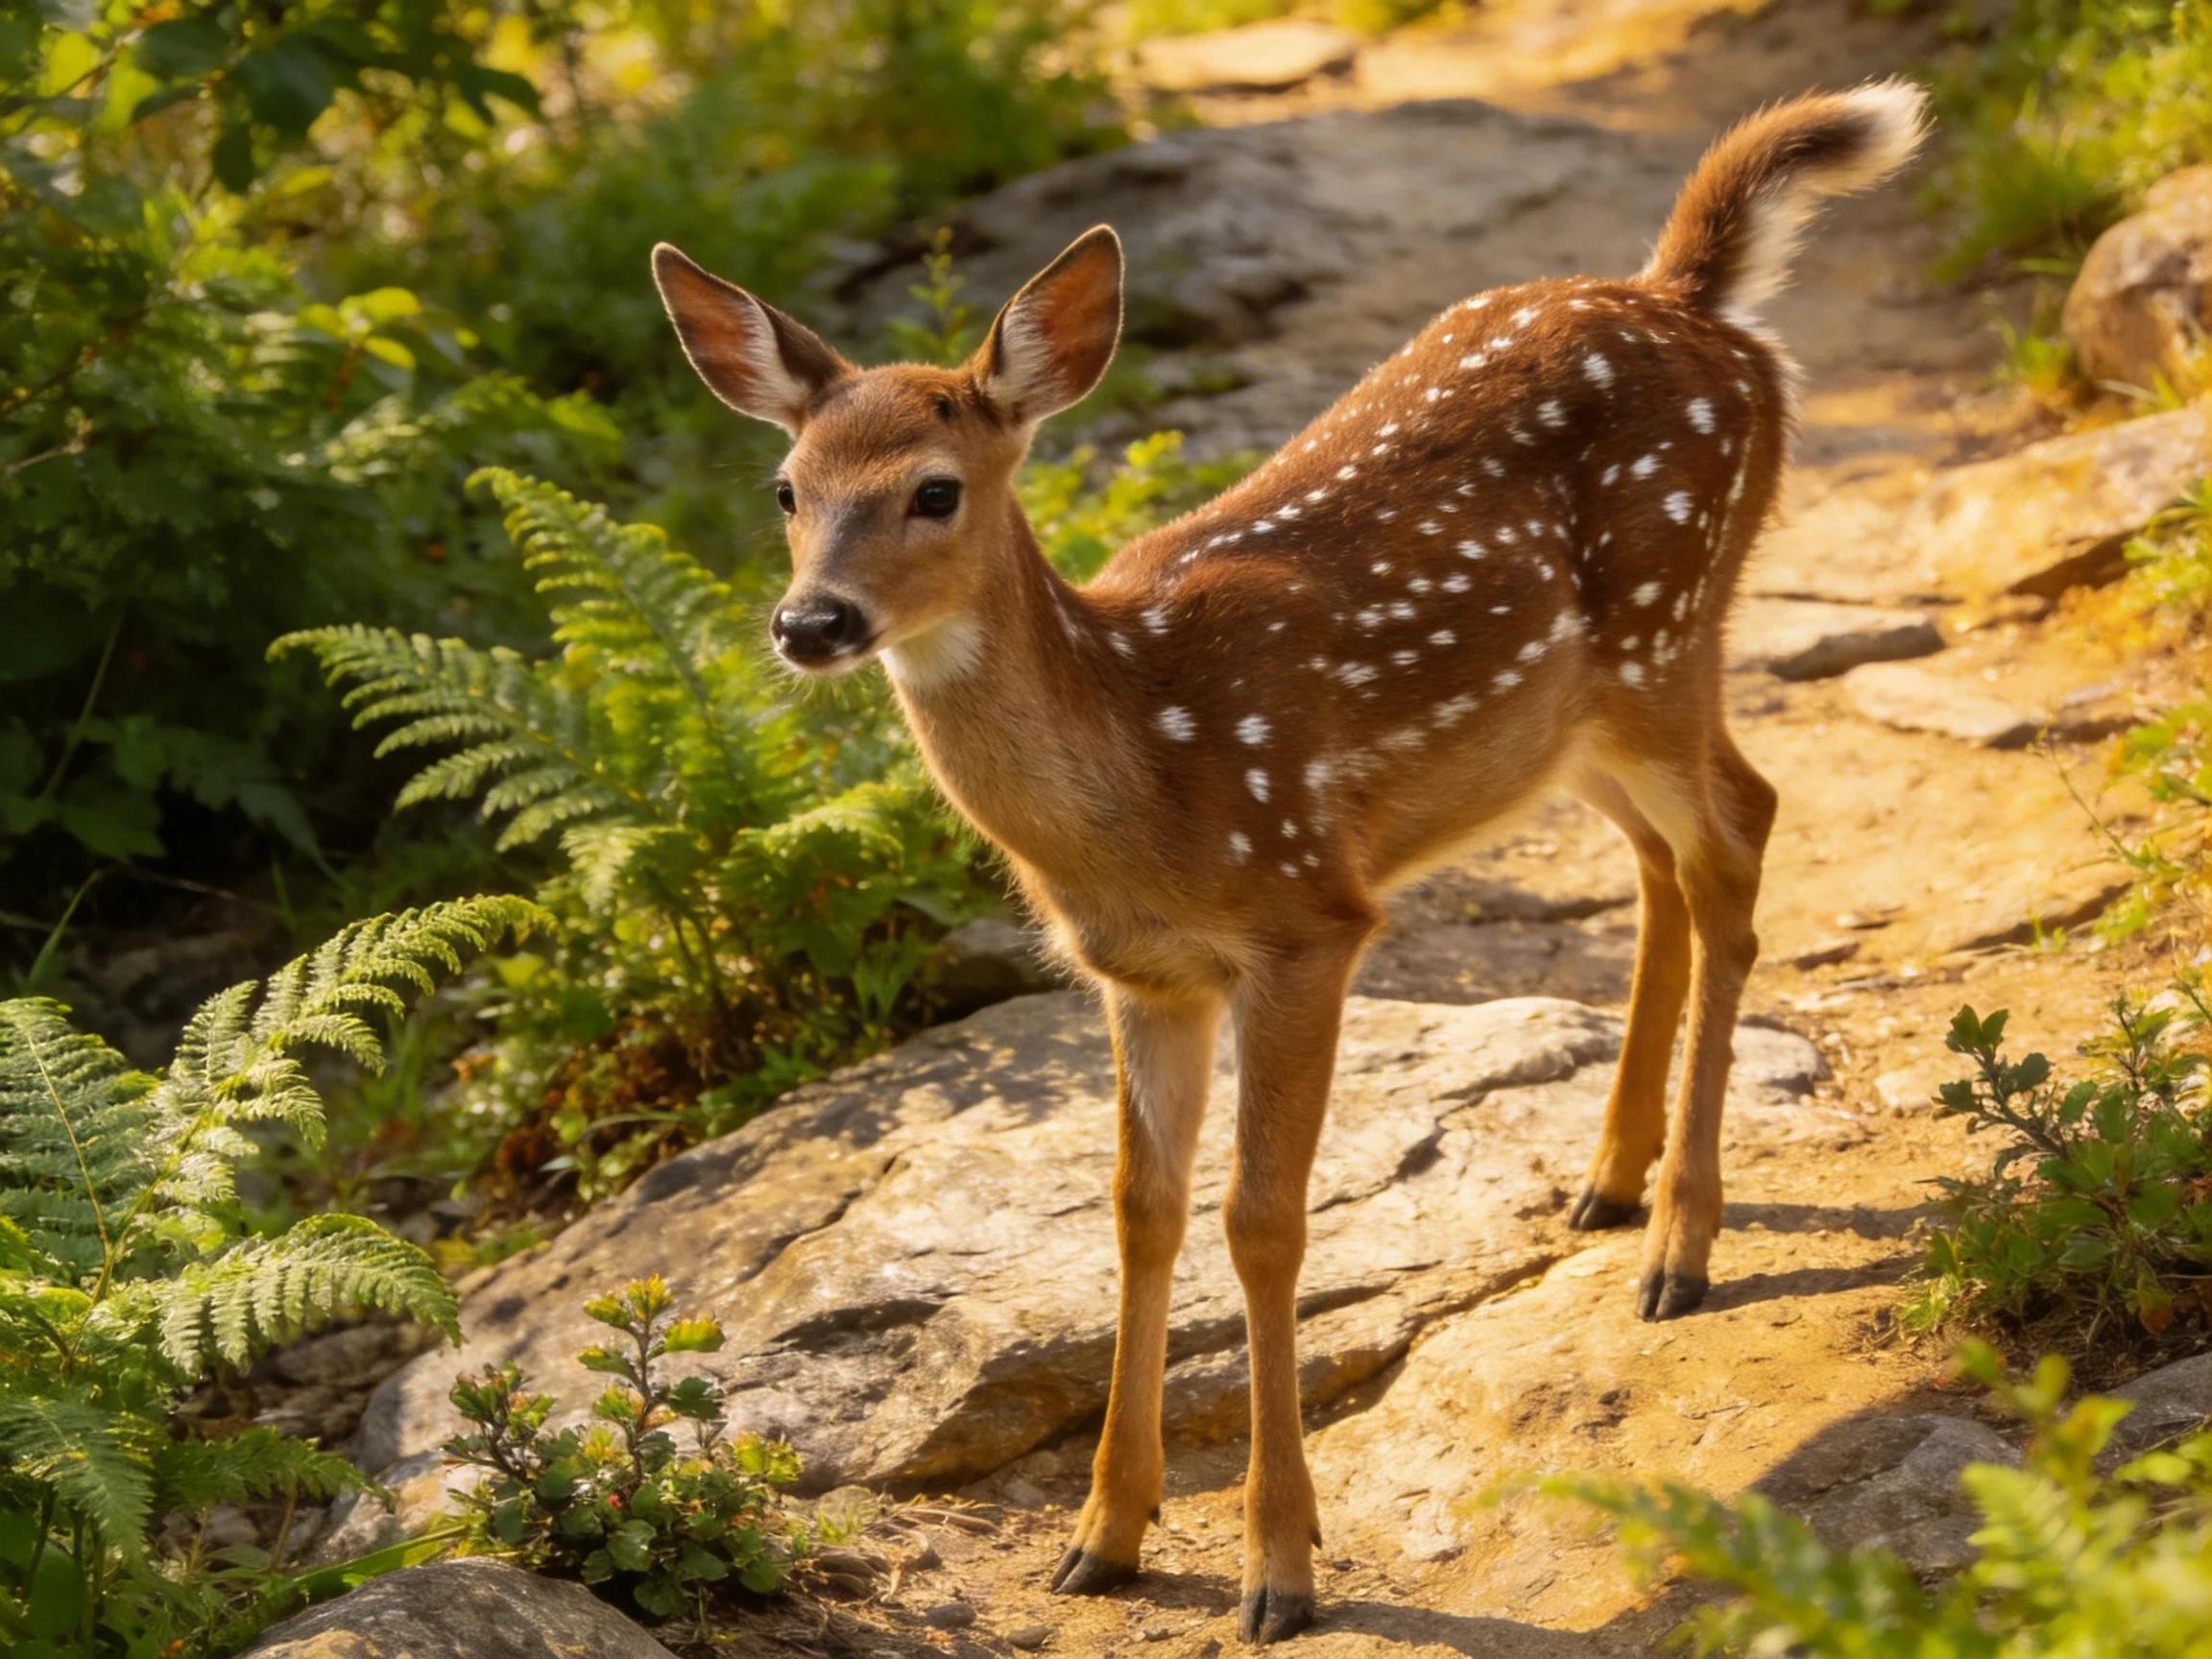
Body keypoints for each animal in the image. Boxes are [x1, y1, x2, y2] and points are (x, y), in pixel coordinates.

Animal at [652, 80, 1927, 1644]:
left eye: (935, 491)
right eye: (785, 488)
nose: (811, 622)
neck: (1149, 761)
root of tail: (1698, 300)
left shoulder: (1309, 919)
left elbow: (1261, 1223)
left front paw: (1280, 1567)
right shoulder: (1145, 977)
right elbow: (1139, 1215)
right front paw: (1104, 1536)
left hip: (1665, 630)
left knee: (1741, 825)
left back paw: (1679, 1248)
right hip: (1563, 726)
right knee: (1662, 863)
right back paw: (1610, 1183)